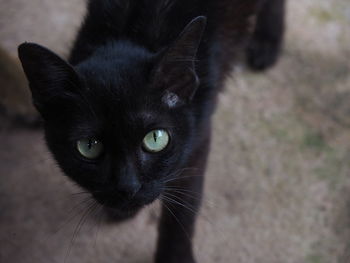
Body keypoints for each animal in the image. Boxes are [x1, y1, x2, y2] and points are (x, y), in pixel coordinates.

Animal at [17, 1, 284, 262]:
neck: (129, 33)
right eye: (88, 146)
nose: (128, 187)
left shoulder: (196, 144)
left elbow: (181, 211)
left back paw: (267, 42)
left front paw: (176, 258)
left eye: (155, 139)